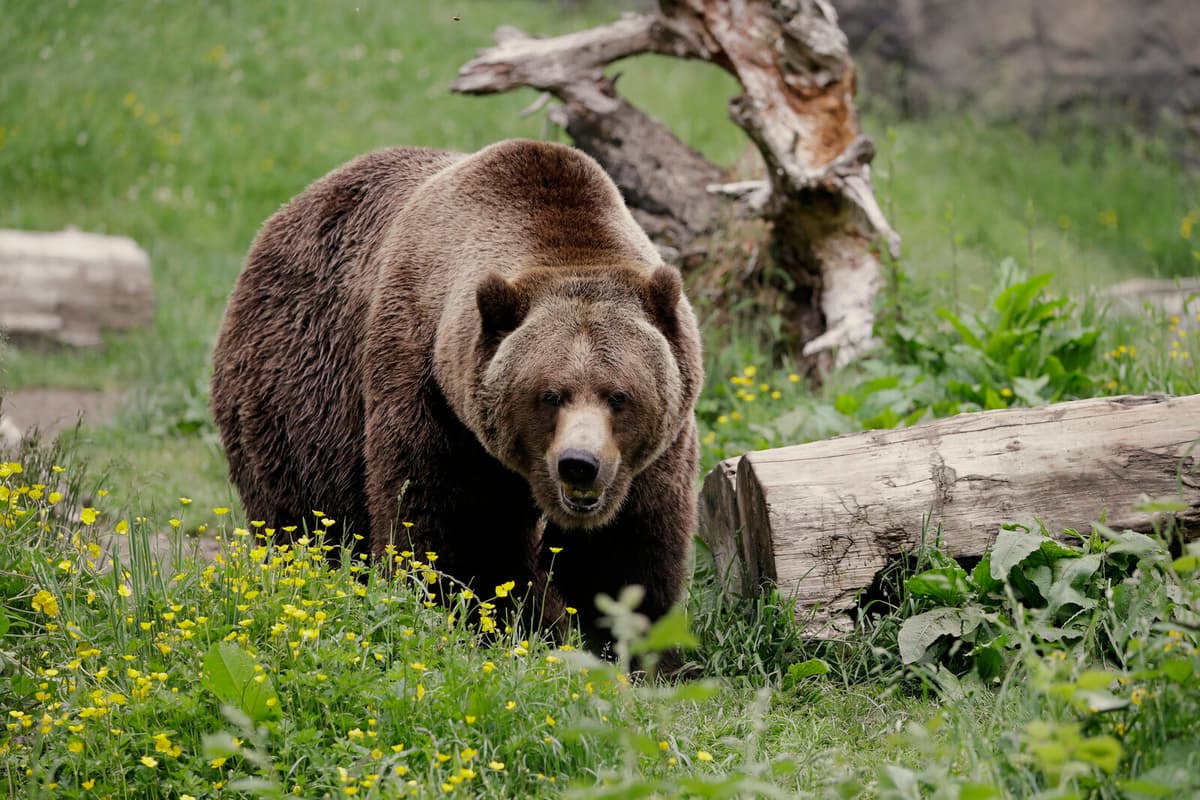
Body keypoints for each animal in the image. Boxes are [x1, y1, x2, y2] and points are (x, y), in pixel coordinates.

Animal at [211, 139, 703, 644]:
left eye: (618, 395)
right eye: (549, 395)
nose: (579, 464)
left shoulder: (654, 452)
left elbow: (626, 554)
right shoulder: (430, 393)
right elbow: (453, 532)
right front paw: (487, 621)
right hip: (298, 398)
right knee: (305, 517)